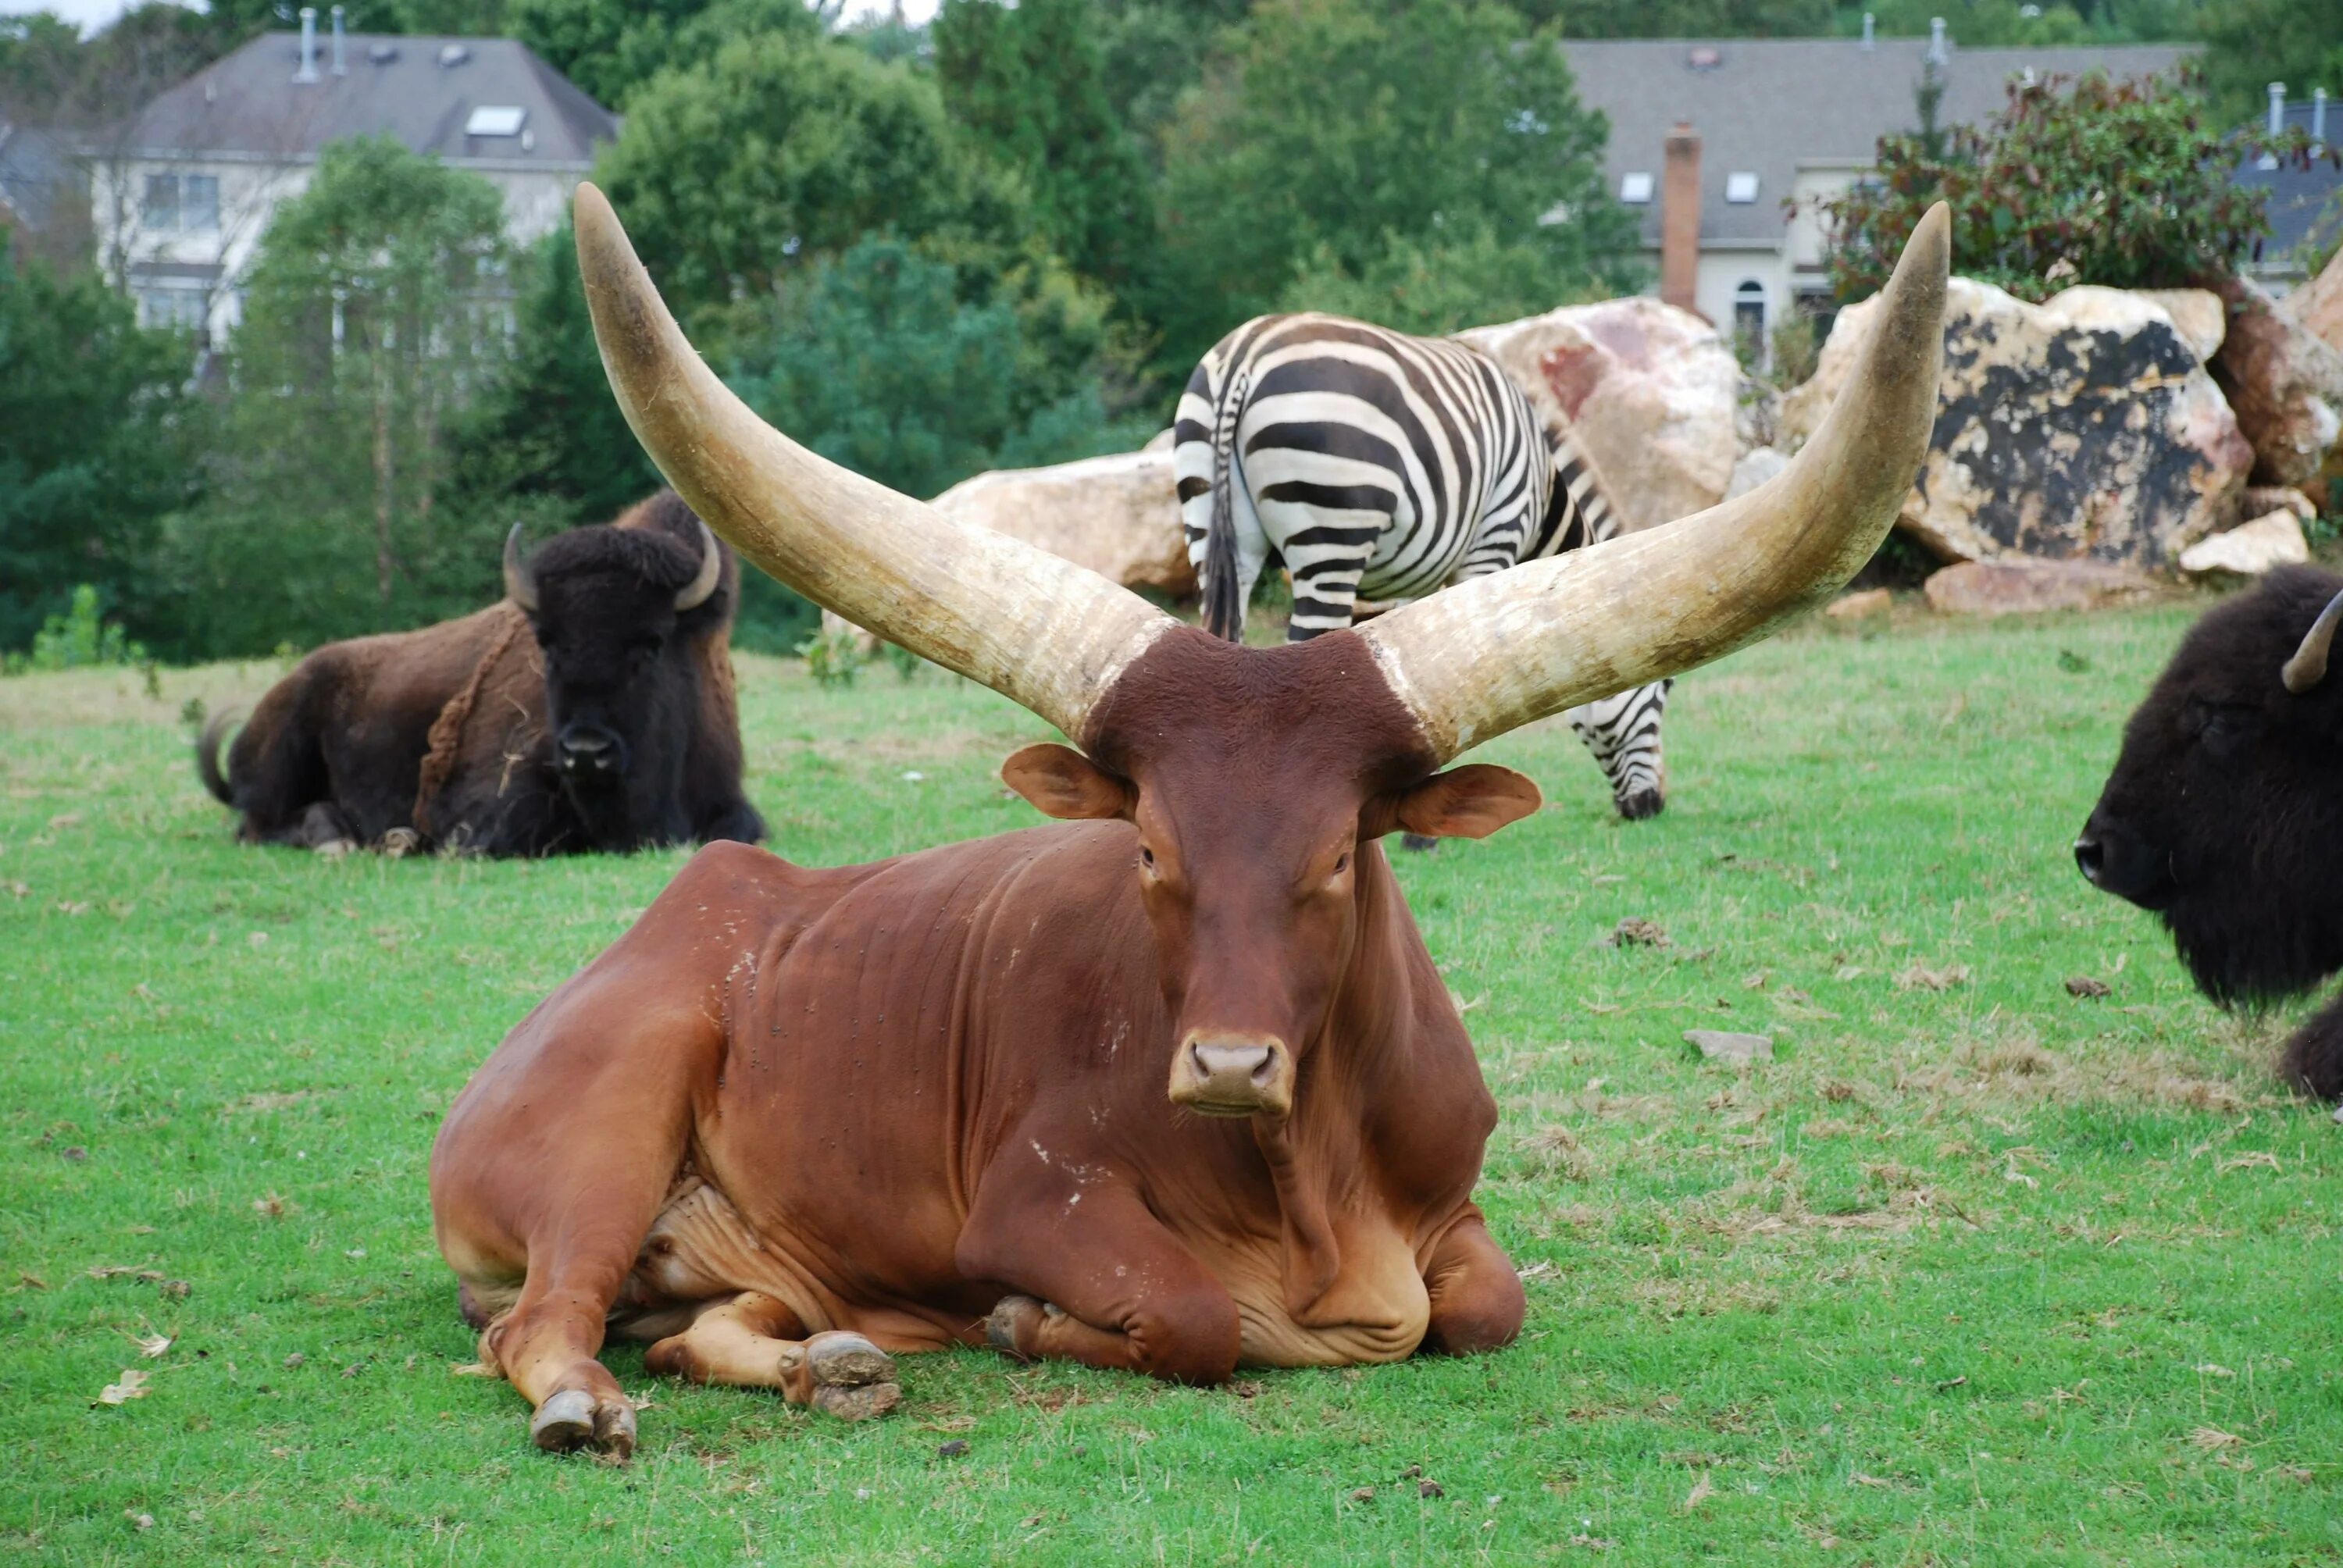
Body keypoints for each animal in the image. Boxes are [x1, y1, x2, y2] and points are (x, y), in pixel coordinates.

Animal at [194, 490, 759, 857]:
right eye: (547, 642)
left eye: (654, 642)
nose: (586, 753)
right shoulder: (481, 804)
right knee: (260, 823)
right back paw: (347, 840)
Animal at [1172, 309, 1668, 820]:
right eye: (1661, 694)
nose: (1650, 808)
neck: (1543, 491)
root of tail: (1245, 352)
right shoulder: (1494, 543)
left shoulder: (1419, 578)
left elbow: (1424, 681)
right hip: (1332, 532)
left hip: (1212, 524)